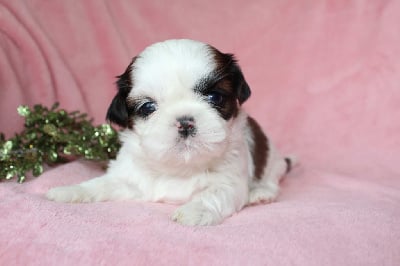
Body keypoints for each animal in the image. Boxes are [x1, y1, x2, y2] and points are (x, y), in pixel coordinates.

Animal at [47, 39, 296, 227]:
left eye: (214, 97)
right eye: (148, 107)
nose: (185, 122)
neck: (180, 167)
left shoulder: (229, 182)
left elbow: (212, 194)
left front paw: (195, 211)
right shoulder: (128, 178)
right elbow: (100, 185)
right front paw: (68, 191)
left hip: (273, 163)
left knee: (272, 180)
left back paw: (260, 193)